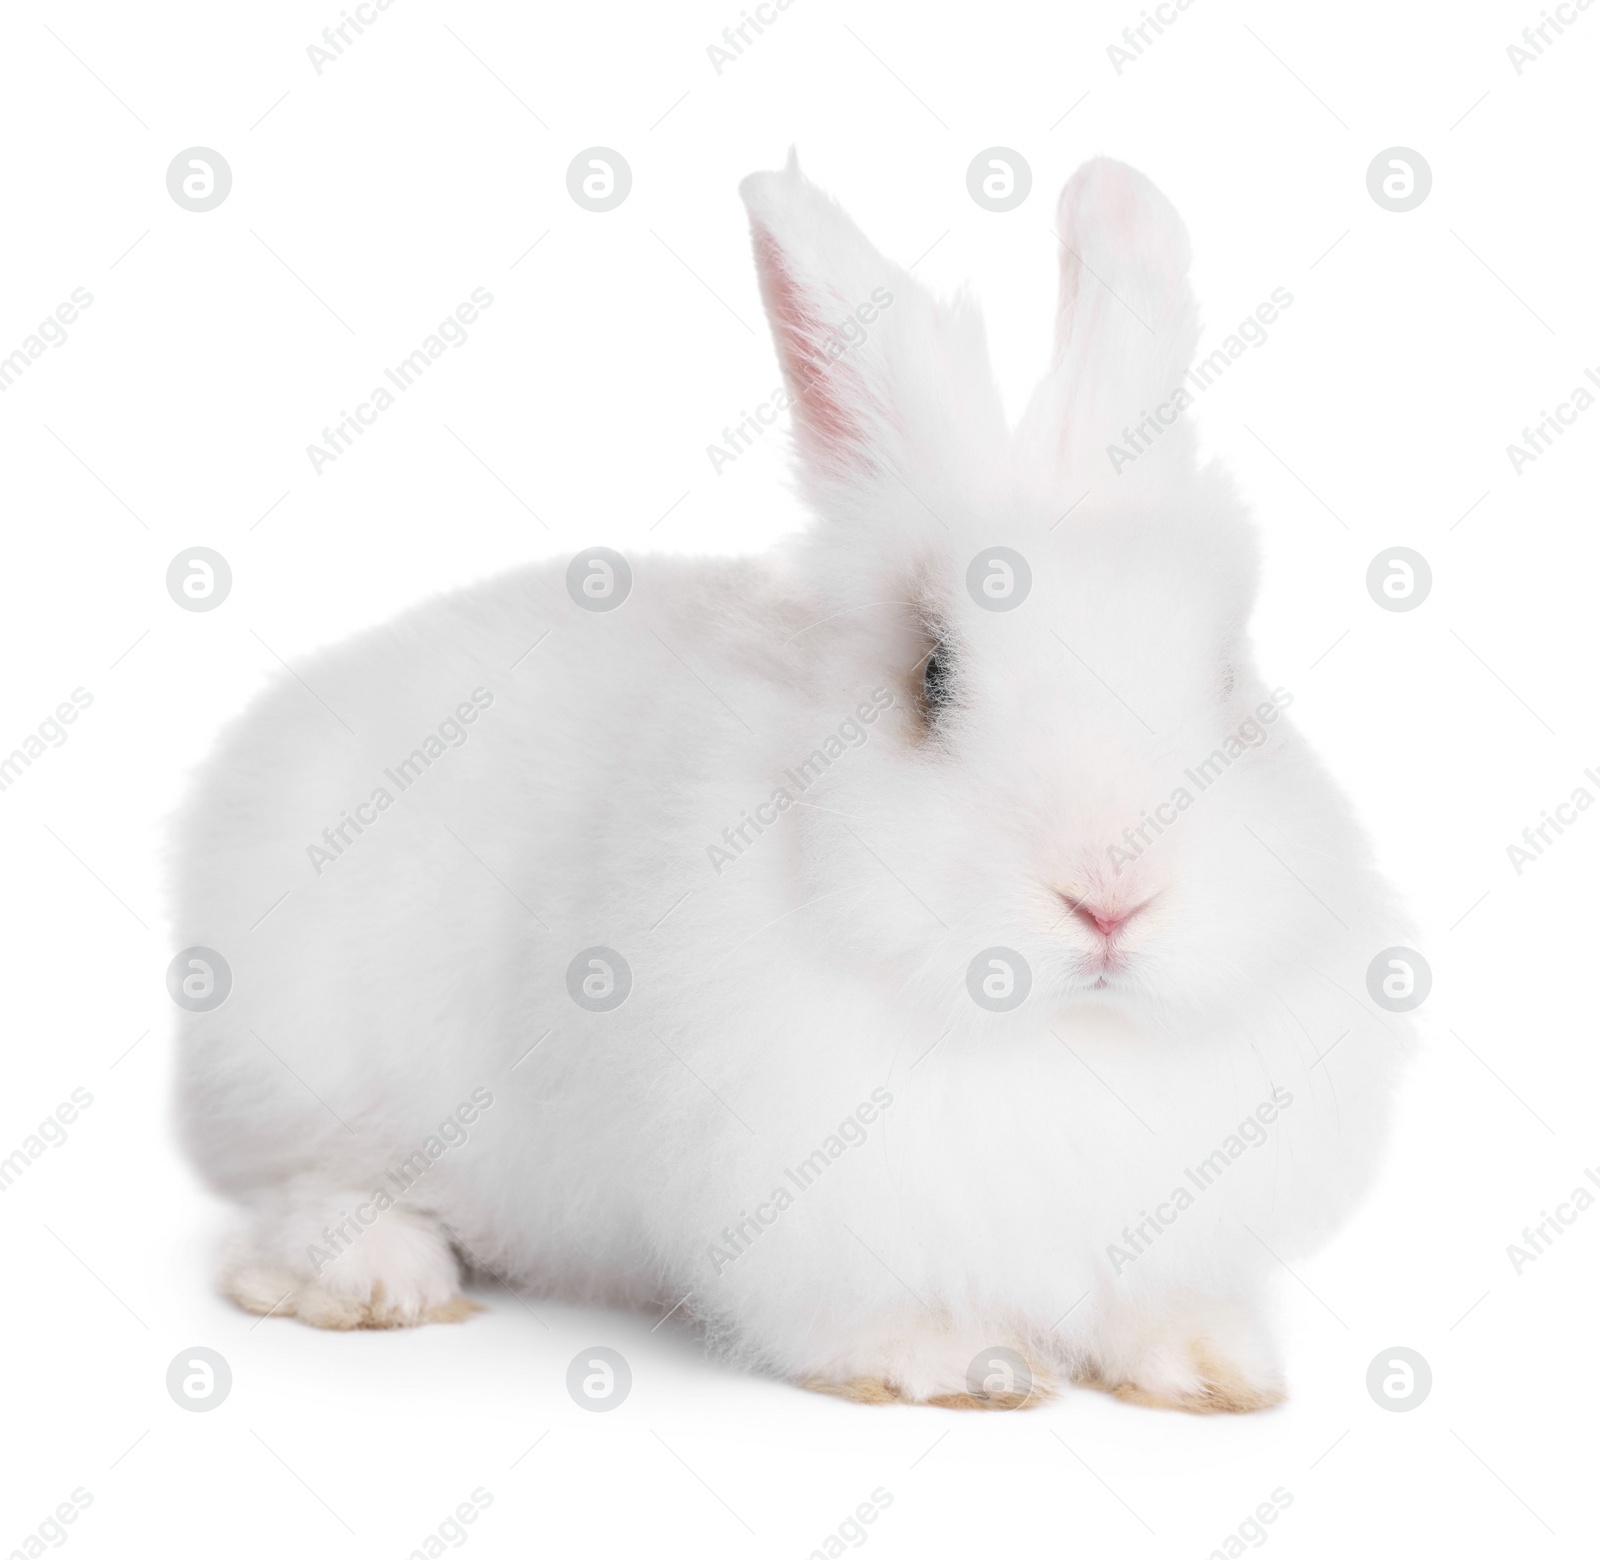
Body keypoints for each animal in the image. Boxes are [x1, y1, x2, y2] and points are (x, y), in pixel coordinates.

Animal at [168, 155, 1408, 1414]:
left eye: (1228, 681)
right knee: (296, 1195)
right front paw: (955, 1366)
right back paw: (375, 1281)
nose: (1111, 900)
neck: (1052, 1037)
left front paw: (1213, 1371)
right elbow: (860, 1317)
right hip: (307, 1055)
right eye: (932, 674)